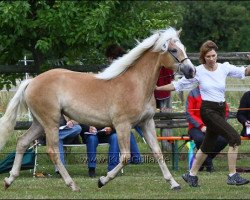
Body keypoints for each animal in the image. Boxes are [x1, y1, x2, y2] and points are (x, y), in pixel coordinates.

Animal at [0, 26, 195, 191]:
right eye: (174, 50)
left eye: (184, 47)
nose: (191, 70)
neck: (136, 85)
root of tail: (32, 81)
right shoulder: (123, 125)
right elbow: (125, 157)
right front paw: (102, 180)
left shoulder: (146, 123)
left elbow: (158, 152)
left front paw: (174, 183)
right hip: (51, 123)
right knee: (53, 151)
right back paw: (72, 185)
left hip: (40, 123)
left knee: (22, 142)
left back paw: (9, 180)